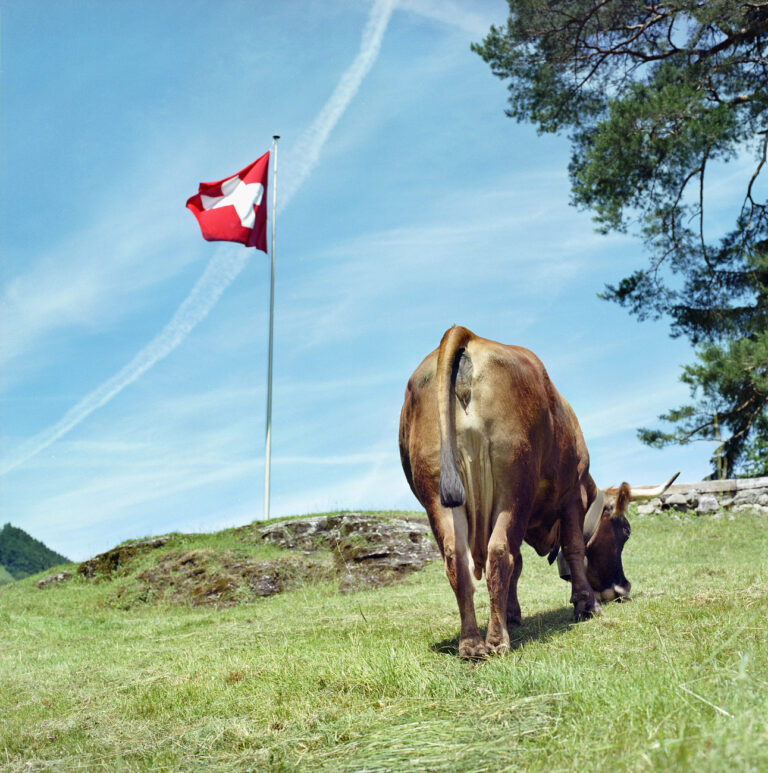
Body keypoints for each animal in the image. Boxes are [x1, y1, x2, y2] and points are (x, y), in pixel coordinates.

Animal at [400, 326, 676, 656]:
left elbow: (518, 563)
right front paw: (586, 605)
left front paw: (512, 612)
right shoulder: (571, 496)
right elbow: (573, 547)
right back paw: (497, 641)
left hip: (437, 492)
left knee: (458, 559)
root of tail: (466, 334)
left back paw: (471, 644)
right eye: (626, 532)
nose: (623, 588)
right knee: (499, 552)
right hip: (514, 483)